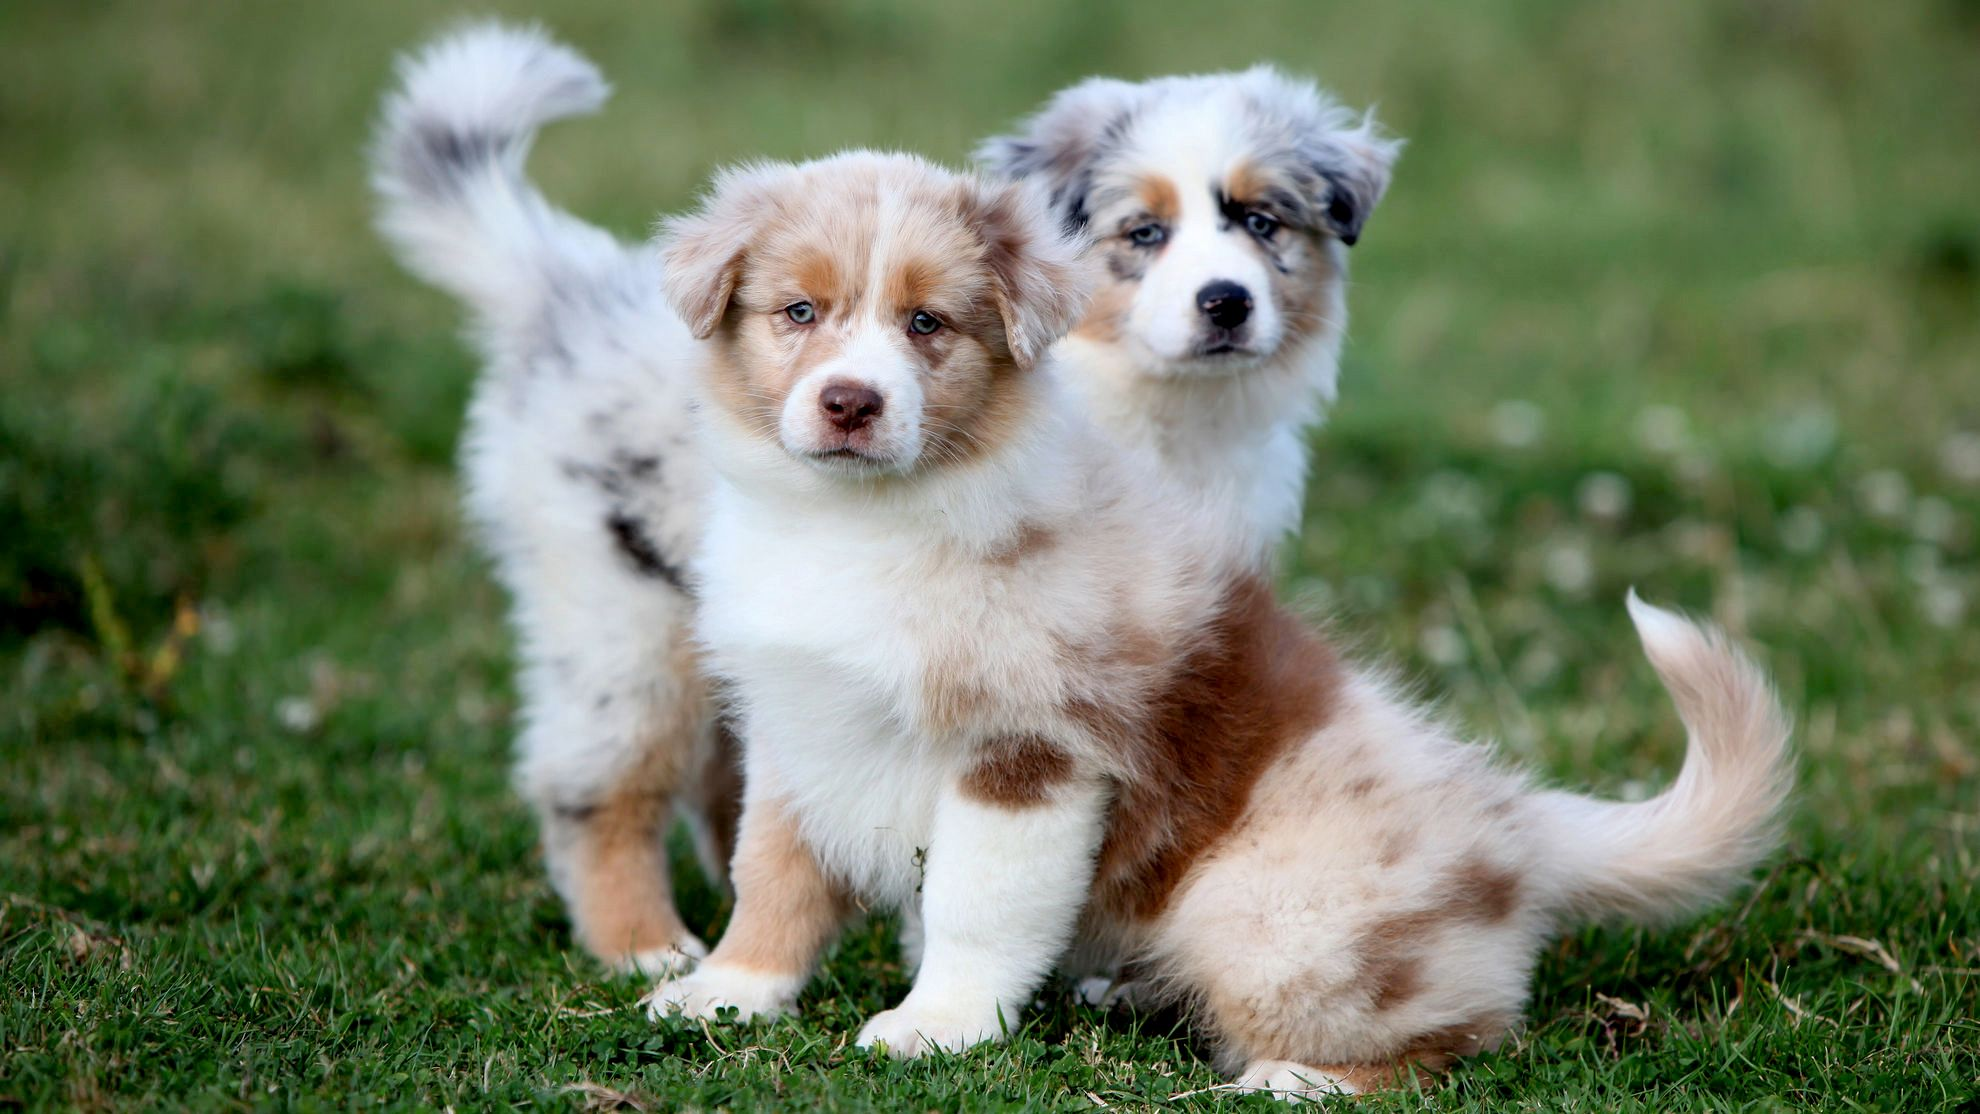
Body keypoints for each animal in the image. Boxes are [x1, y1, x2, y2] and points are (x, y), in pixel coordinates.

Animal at [649, 148, 1797, 1100]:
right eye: (799, 311)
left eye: (928, 324)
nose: (850, 402)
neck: (864, 520)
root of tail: (1518, 821)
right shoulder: (798, 726)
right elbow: (771, 874)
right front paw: (726, 993)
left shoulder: (1030, 749)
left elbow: (976, 906)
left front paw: (937, 1026)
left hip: (1270, 914)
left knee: (1458, 1038)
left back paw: (1290, 1082)